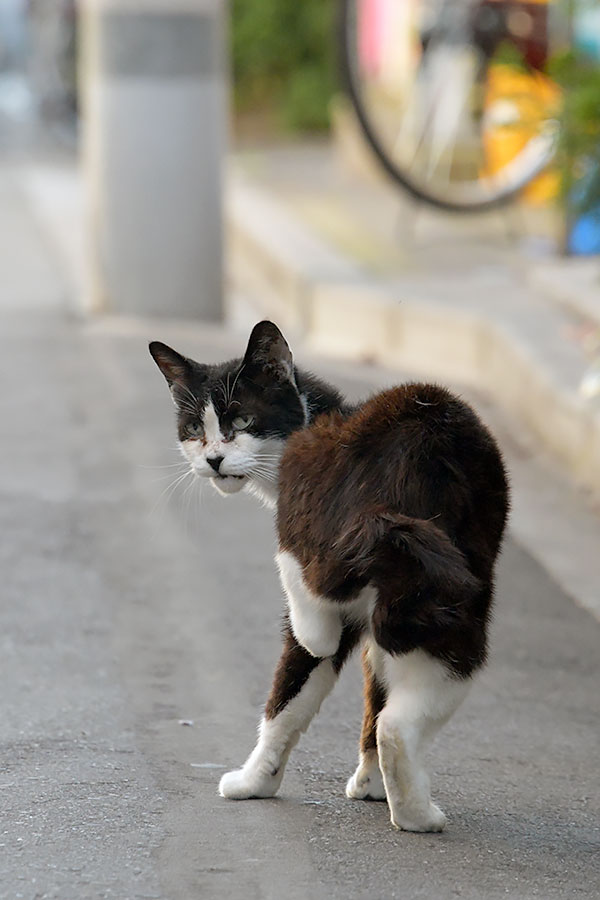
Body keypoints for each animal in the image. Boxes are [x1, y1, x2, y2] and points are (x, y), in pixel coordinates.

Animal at [149, 316, 506, 828]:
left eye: (242, 420)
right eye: (195, 427)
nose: (213, 459)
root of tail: (404, 463)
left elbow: (294, 693)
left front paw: (257, 783)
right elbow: (311, 694)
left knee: (313, 608)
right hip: (446, 590)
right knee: (393, 714)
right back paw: (415, 812)